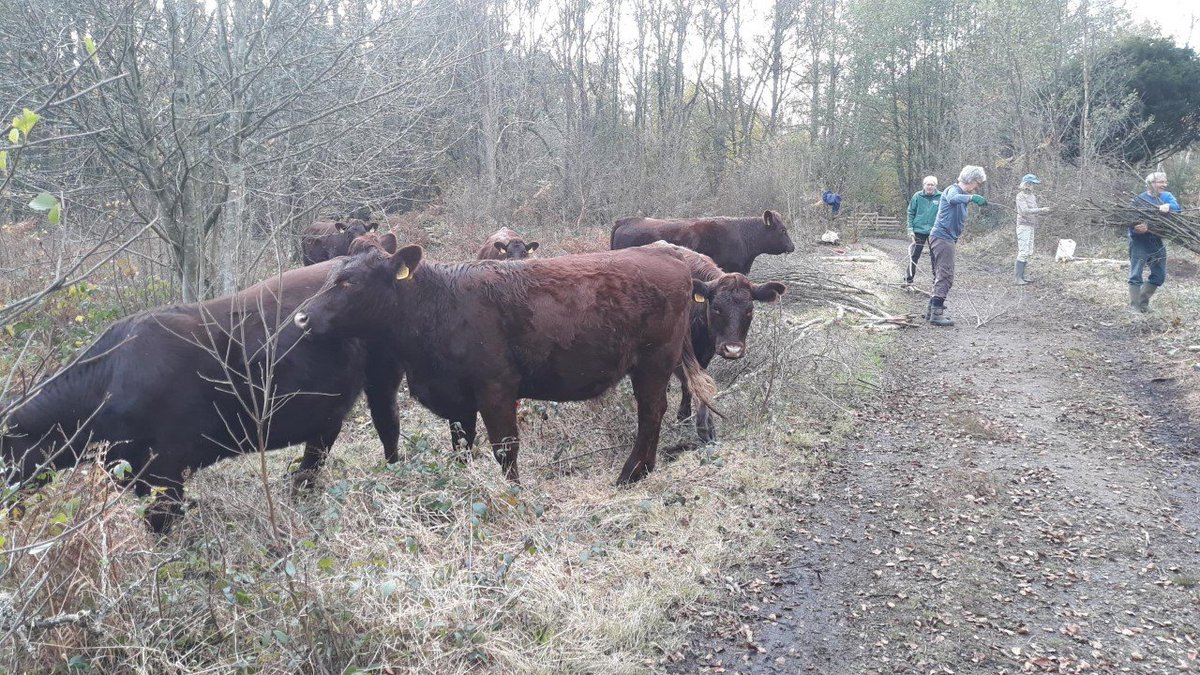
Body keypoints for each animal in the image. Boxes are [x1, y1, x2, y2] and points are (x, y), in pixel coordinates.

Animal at [293, 245, 716, 485]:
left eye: (349, 281)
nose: (300, 317)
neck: (439, 307)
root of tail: (667, 255)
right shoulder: (456, 398)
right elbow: (462, 445)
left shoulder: (496, 389)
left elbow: (504, 446)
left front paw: (514, 493)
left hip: (653, 362)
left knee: (651, 412)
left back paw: (630, 474)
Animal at [645, 242, 786, 443]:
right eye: (716, 308)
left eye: (749, 310)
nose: (733, 349)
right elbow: (691, 381)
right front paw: (693, 422)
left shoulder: (706, 353)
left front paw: (694, 421)